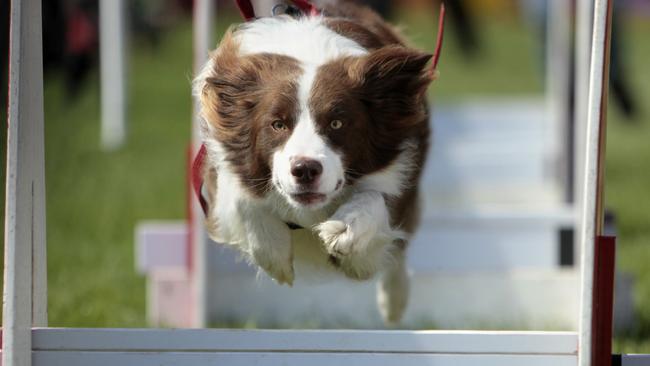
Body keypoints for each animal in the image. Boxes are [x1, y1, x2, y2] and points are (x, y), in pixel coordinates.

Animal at [192, 0, 436, 324]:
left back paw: (394, 302)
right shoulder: (222, 161)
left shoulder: (400, 170)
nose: (305, 170)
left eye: (337, 123)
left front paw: (344, 231)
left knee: (398, 249)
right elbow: (242, 198)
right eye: (278, 124)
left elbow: (374, 201)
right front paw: (274, 255)